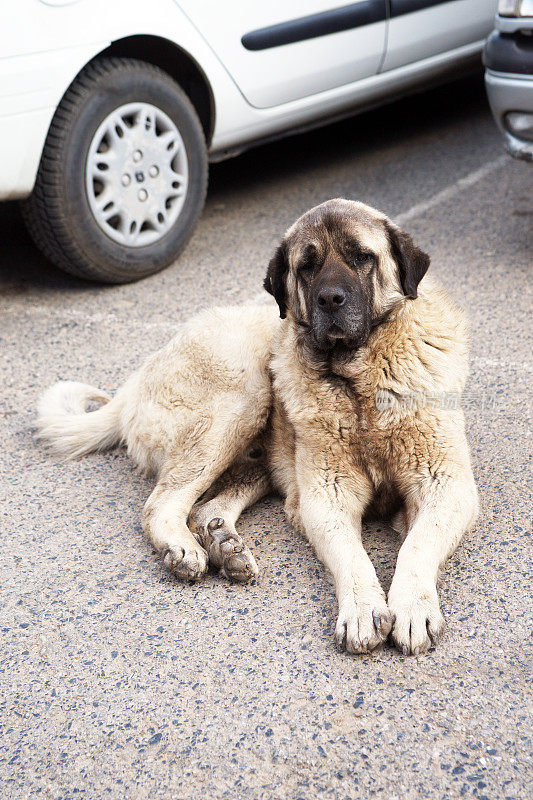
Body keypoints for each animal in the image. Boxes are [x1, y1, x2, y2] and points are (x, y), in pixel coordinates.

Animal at [37, 200, 478, 656]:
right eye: (307, 266)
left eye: (361, 257)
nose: (330, 298)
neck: (358, 379)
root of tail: (136, 380)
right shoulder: (325, 498)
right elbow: (352, 555)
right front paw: (361, 609)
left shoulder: (447, 488)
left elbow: (416, 544)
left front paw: (411, 606)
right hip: (242, 393)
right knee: (160, 504)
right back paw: (183, 549)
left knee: (206, 508)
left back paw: (225, 547)